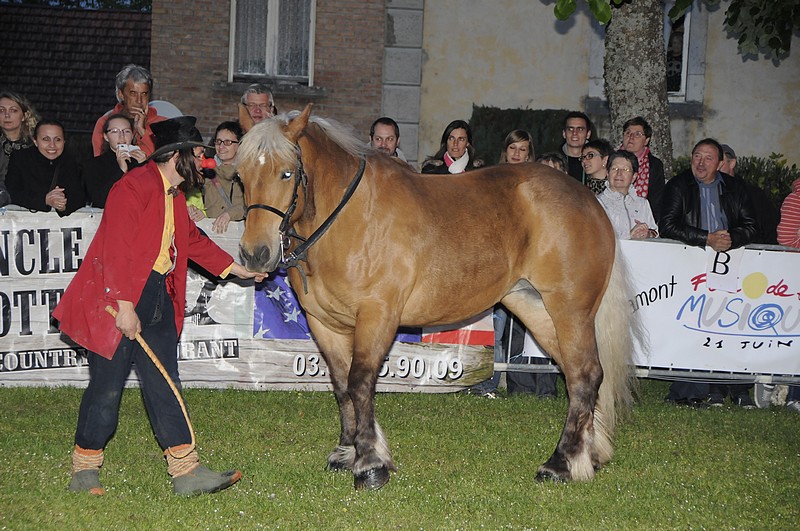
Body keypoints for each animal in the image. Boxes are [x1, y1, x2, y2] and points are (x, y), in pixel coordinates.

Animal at [237, 104, 637, 490]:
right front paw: (347, 450)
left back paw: (562, 463)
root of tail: (588, 199)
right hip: (535, 308)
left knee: (584, 375)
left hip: (569, 309)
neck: (352, 218)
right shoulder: (324, 324)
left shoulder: (377, 315)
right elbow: (340, 385)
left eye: (287, 173)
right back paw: (589, 454)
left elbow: (360, 381)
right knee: (580, 374)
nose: (255, 253)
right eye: (240, 175)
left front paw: (370, 464)